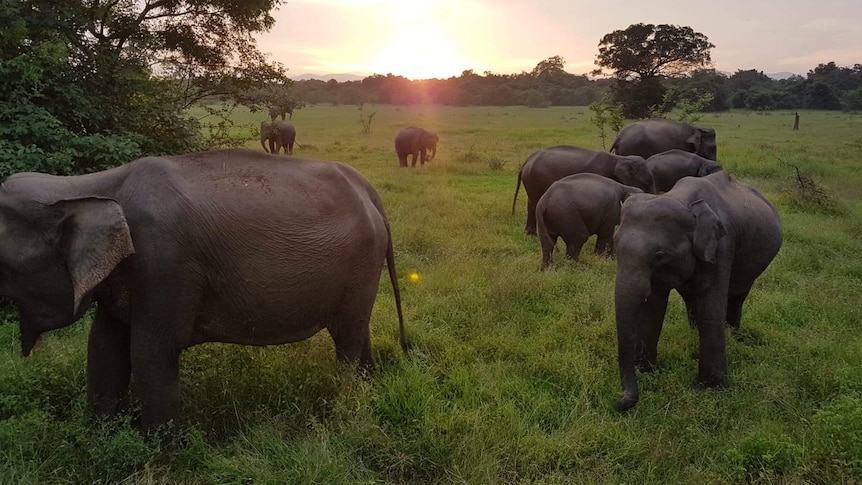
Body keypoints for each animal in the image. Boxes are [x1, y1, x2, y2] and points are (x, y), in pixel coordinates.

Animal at [0, 147, 410, 428]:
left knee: (347, 338)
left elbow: (152, 352)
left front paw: (159, 457)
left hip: (361, 259)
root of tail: (370, 191)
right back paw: (368, 393)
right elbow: (104, 347)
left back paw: (343, 409)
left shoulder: (162, 263)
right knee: (358, 331)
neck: (86, 185)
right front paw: (100, 441)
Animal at [512, 144, 656, 234]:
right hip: (534, 179)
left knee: (531, 203)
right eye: (646, 182)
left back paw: (530, 234)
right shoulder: (599, 172)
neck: (619, 158)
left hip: (531, 181)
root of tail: (526, 162)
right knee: (535, 202)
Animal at [616, 172, 784, 410]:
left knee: (737, 296)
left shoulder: (721, 247)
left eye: (659, 255)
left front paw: (711, 389)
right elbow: (654, 305)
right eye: (615, 247)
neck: (681, 199)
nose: (619, 401)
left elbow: (710, 304)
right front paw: (646, 371)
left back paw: (732, 335)